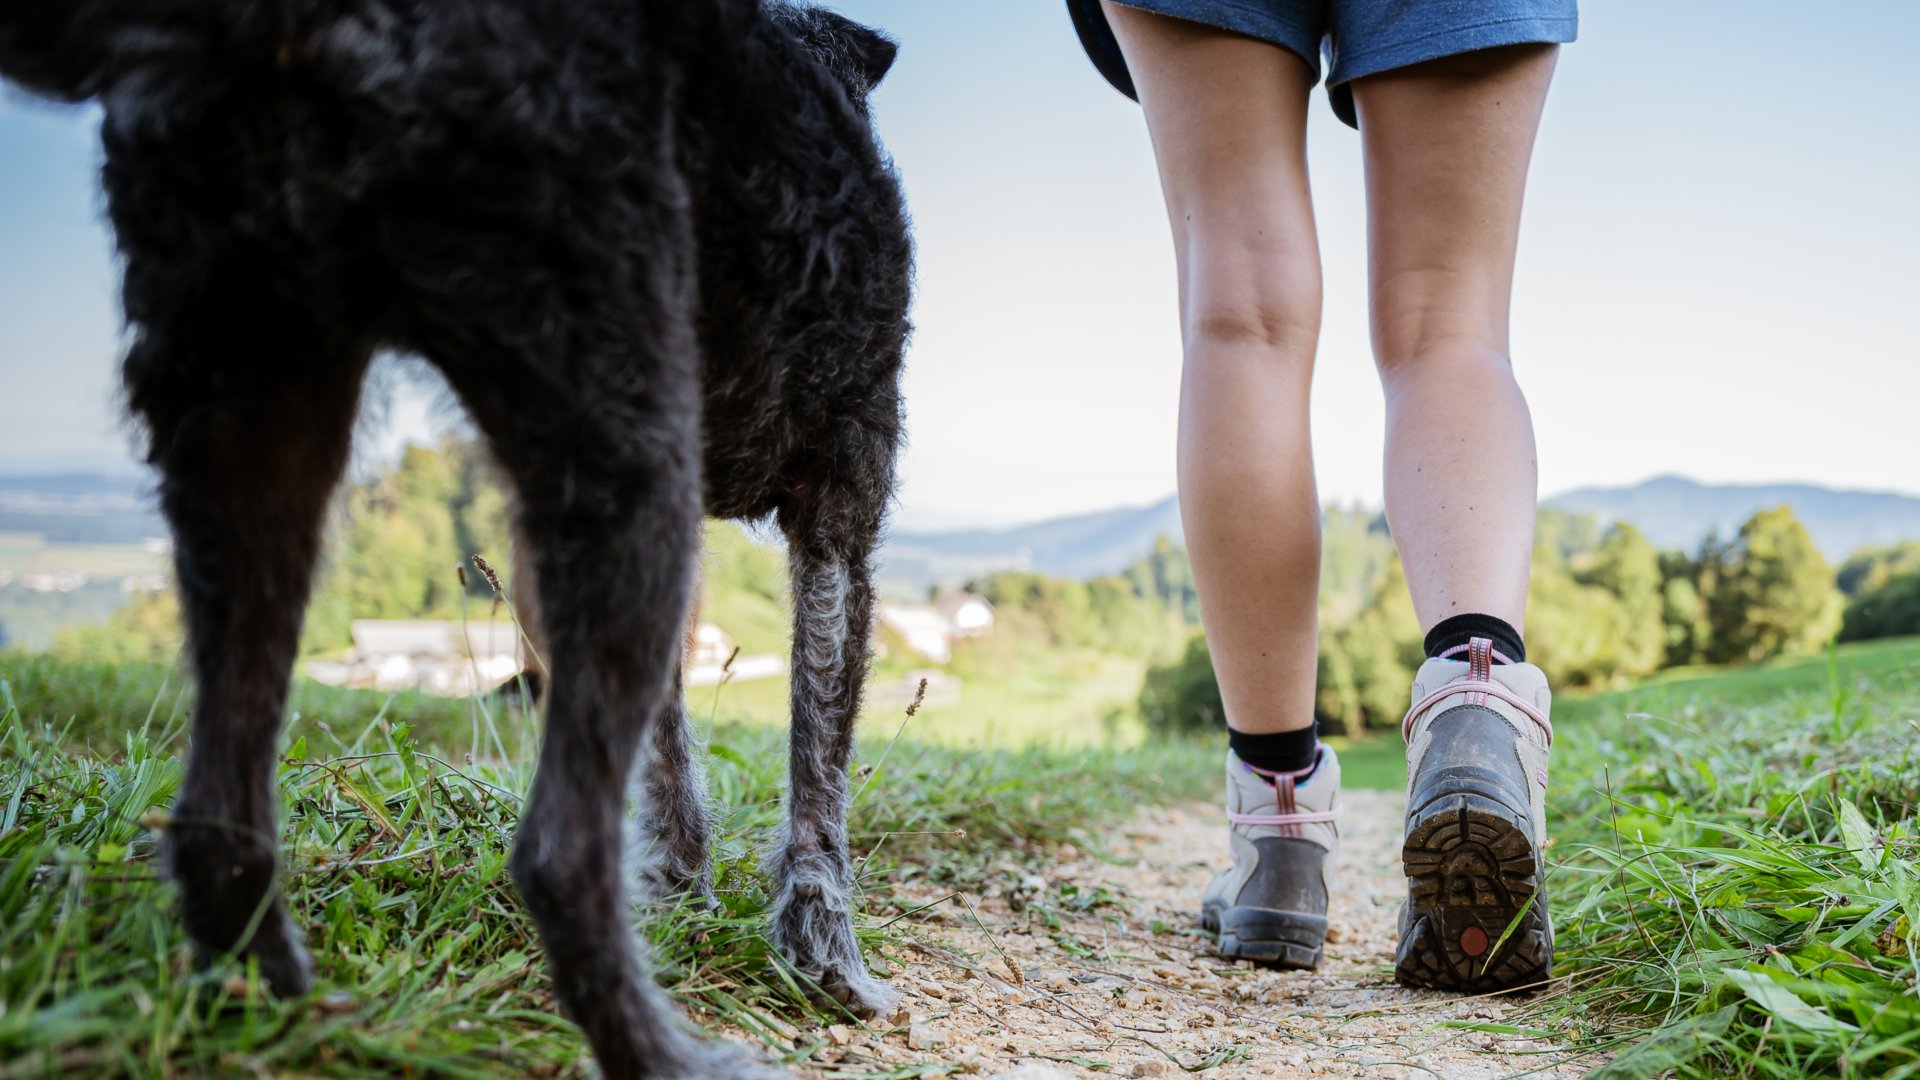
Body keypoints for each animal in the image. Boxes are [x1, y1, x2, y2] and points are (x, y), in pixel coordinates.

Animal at [1, 4, 913, 1068]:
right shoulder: (841, 505)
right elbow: (819, 771)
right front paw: (821, 958)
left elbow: (673, 750)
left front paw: (681, 888)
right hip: (625, 449)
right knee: (557, 853)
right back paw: (665, 1055)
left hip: (254, 424)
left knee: (216, 822)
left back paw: (280, 1013)